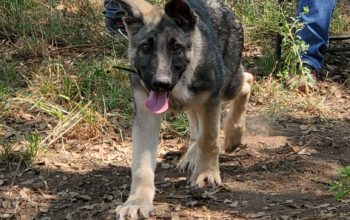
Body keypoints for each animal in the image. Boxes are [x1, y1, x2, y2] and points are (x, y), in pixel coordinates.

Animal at [114, 0, 252, 218]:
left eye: (176, 47)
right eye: (145, 47)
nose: (160, 84)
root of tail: (220, 5)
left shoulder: (211, 100)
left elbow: (209, 139)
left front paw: (206, 173)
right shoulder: (146, 115)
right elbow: (141, 164)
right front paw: (137, 202)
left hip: (228, 84)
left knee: (247, 81)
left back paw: (233, 134)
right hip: (196, 101)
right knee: (196, 126)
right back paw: (191, 156)